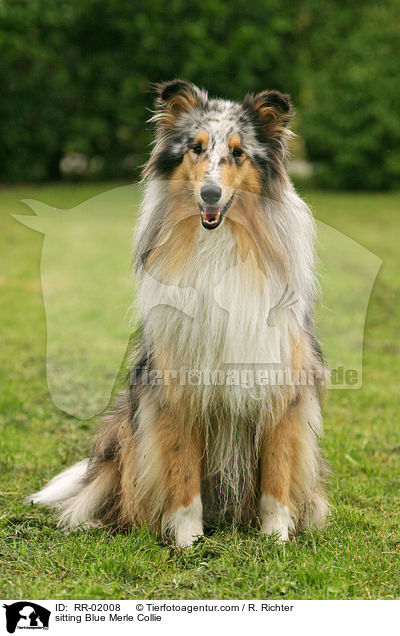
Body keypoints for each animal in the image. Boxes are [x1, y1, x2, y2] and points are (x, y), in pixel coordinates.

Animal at [30, 80, 328, 548]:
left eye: (238, 153)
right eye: (196, 148)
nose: (210, 195)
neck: (218, 246)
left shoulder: (281, 385)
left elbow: (277, 473)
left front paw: (277, 539)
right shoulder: (176, 390)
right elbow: (182, 472)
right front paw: (188, 541)